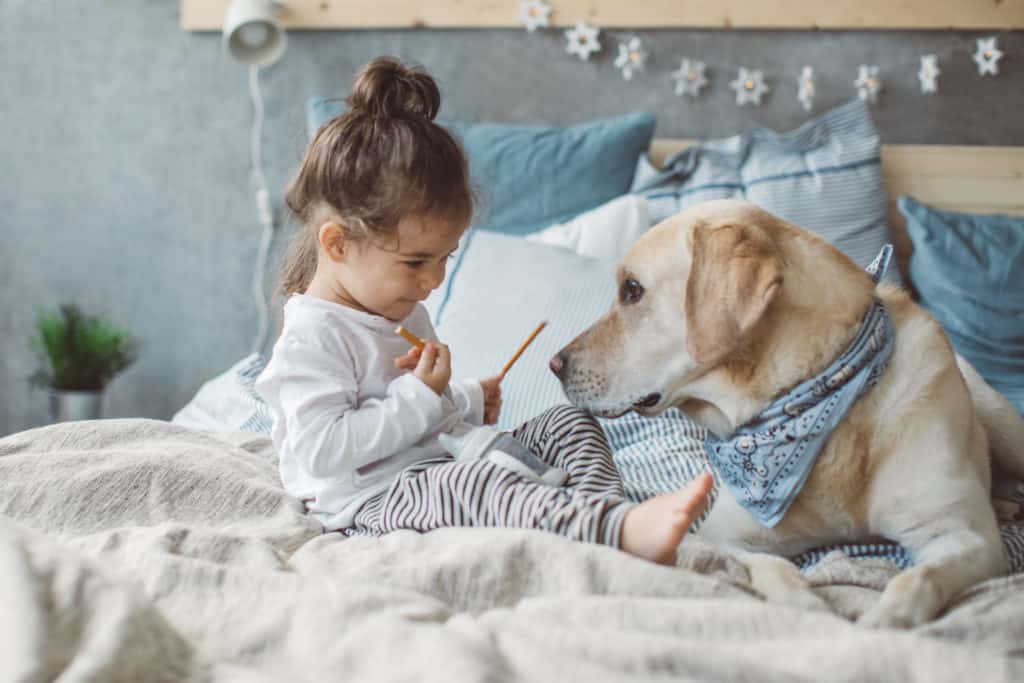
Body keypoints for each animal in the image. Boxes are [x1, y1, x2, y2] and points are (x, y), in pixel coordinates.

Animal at [552, 198, 1024, 630]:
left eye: (631, 289)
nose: (554, 364)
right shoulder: (723, 536)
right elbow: (774, 568)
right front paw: (810, 608)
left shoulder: (965, 536)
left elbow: (916, 579)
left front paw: (880, 624)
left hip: (1001, 421)